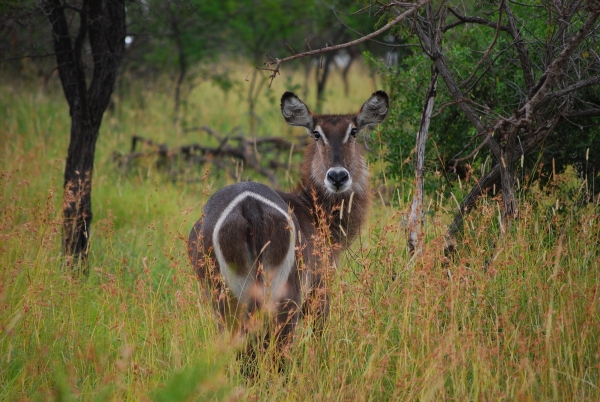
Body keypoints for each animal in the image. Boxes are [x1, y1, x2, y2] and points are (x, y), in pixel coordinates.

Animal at [188, 91, 390, 348]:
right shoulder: (321, 286)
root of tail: (249, 207)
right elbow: (320, 332)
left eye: (353, 131)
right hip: (286, 294)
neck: (312, 210)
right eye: (317, 133)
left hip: (226, 298)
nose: (337, 176)